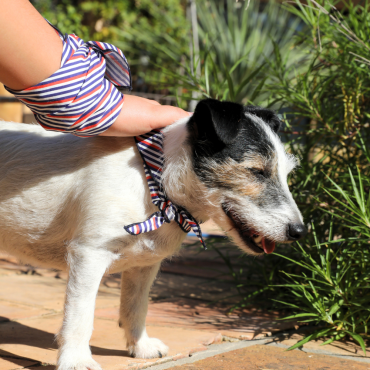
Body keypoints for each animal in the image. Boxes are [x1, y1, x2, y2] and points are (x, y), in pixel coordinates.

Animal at [0, 99, 306, 370]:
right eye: (256, 171)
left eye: (287, 173)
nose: (300, 231)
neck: (156, 185)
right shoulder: (89, 256)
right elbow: (80, 316)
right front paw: (76, 361)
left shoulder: (144, 263)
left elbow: (135, 307)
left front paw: (141, 347)